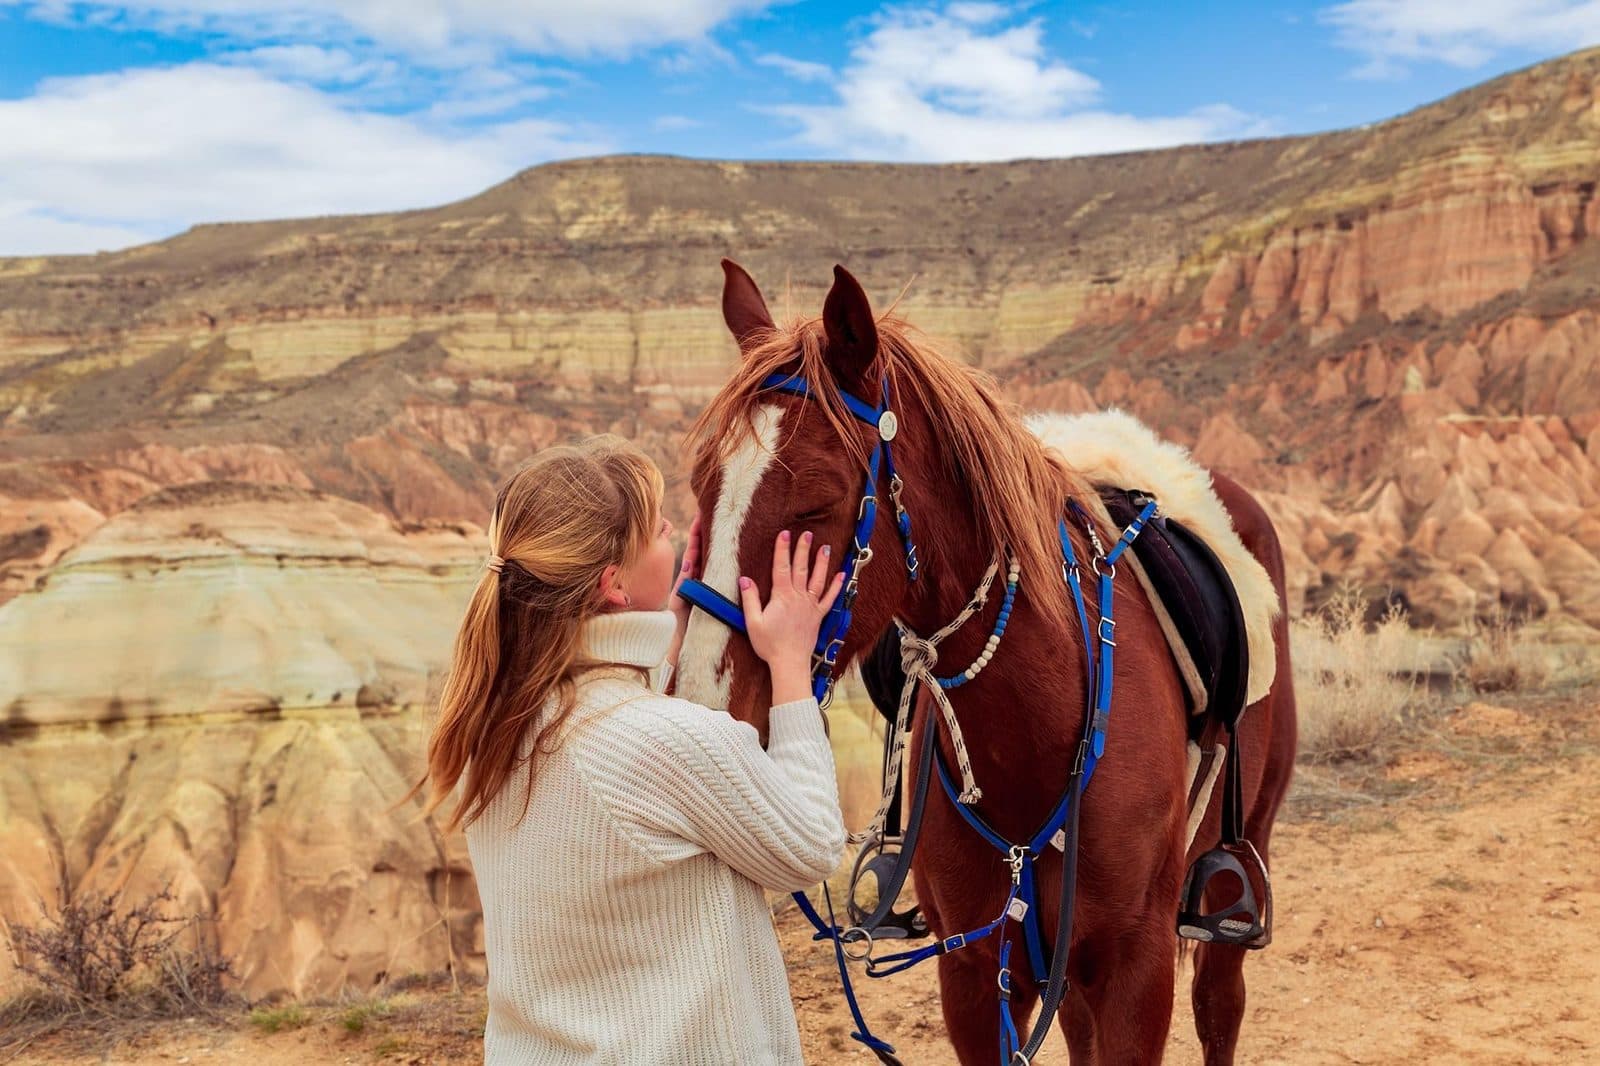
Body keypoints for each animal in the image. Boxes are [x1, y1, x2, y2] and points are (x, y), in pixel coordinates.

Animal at [674, 259, 1297, 1065]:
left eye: (816, 503)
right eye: (702, 488)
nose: (703, 710)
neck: (1038, 735)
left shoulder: (1138, 968)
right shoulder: (976, 972)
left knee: (1221, 1001)